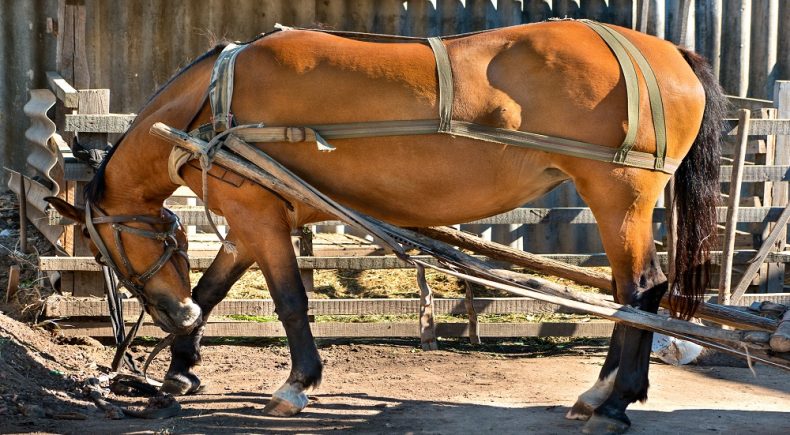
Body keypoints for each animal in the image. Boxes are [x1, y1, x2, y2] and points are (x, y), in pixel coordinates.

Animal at [48, 21, 732, 435]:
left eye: (102, 250)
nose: (170, 316)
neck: (213, 105)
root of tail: (666, 53)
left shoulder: (259, 216)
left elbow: (290, 302)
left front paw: (295, 384)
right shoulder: (252, 216)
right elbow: (213, 290)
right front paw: (181, 366)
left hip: (619, 196)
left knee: (641, 291)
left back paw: (614, 401)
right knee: (627, 296)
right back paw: (600, 393)